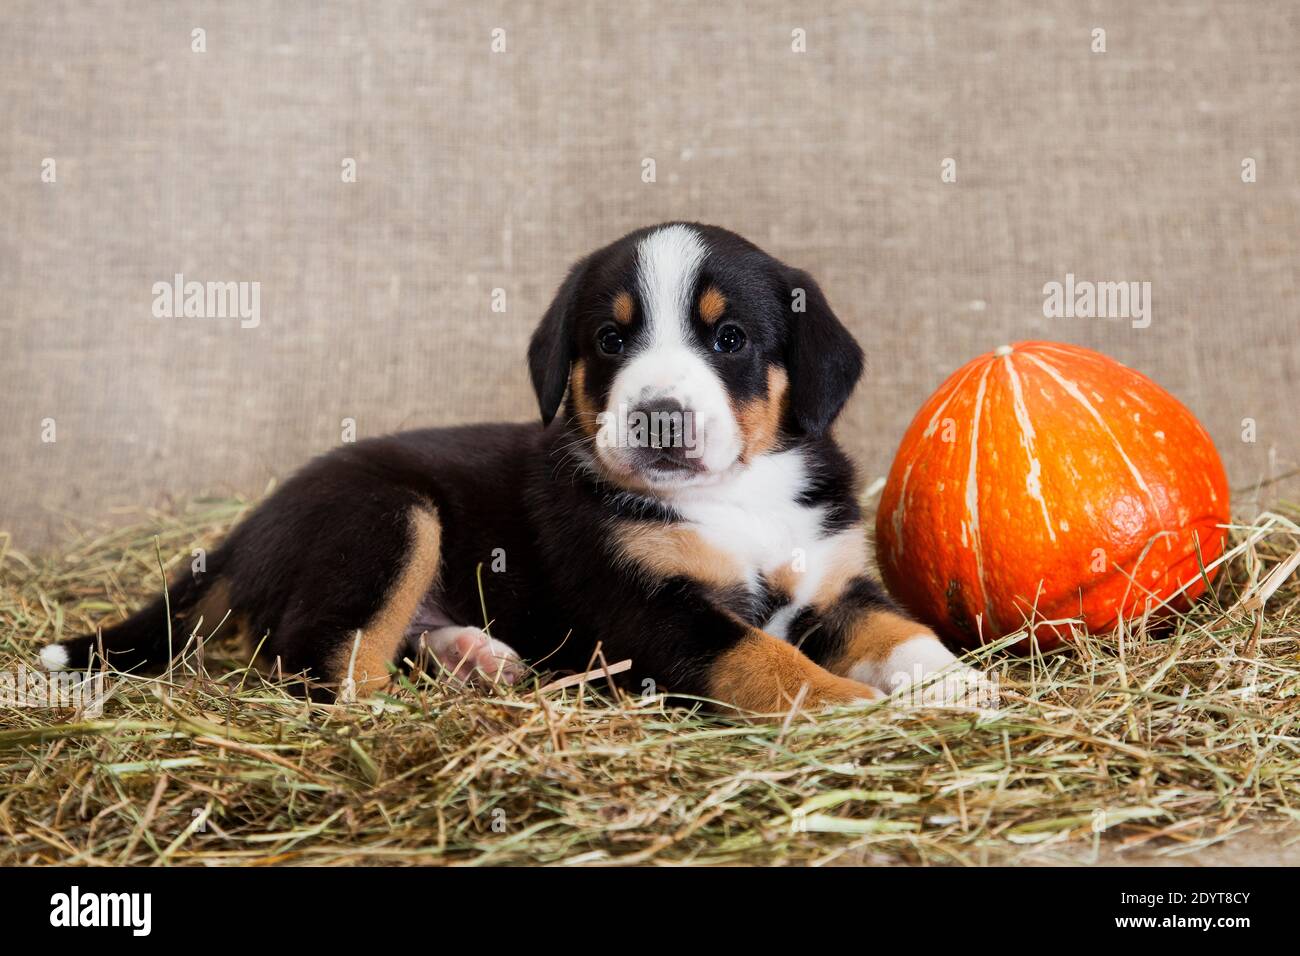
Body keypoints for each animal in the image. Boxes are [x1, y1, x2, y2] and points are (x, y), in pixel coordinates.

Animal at [40, 218, 977, 712]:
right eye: (610, 340)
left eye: (731, 338)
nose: (660, 415)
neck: (734, 497)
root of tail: (246, 527)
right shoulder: (647, 610)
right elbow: (761, 659)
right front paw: (850, 710)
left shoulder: (832, 580)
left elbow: (896, 628)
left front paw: (954, 684)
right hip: (389, 513)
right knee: (322, 653)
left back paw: (473, 658)